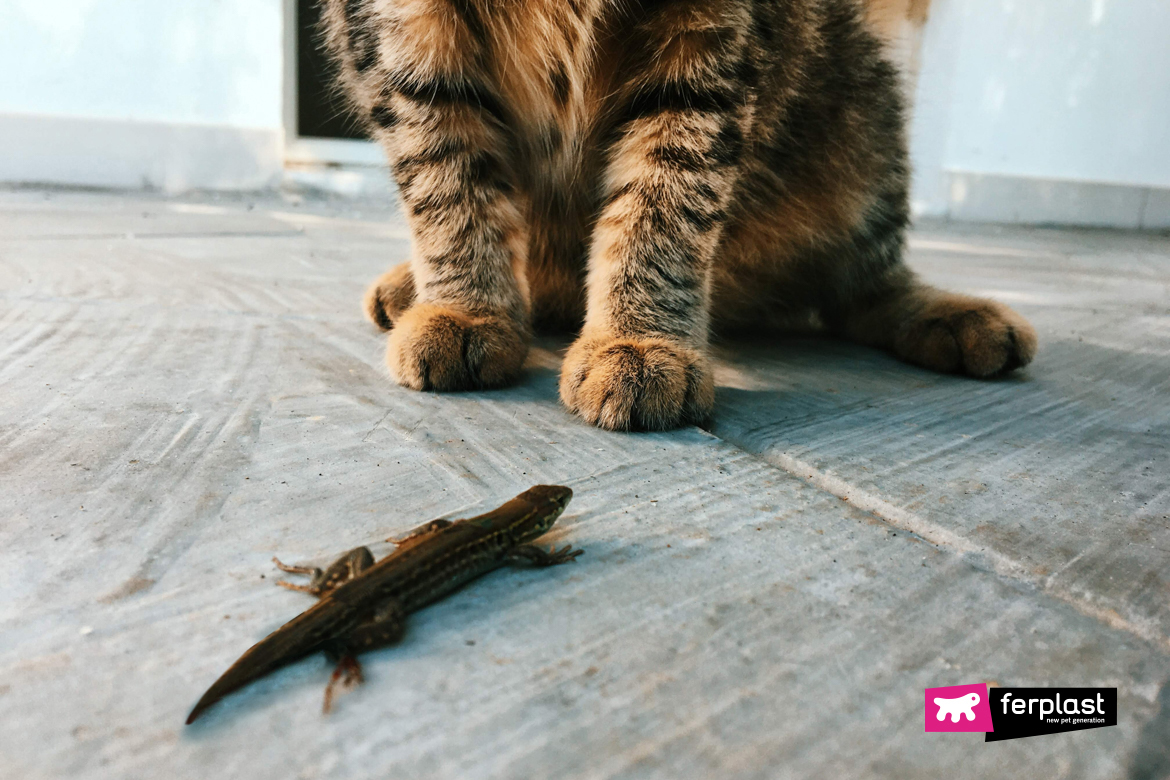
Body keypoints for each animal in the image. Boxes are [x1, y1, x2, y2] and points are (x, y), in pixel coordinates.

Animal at [318, 0, 1034, 430]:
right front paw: (467, 310)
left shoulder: (708, 51)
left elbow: (661, 208)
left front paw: (636, 339)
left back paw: (952, 314)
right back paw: (412, 288)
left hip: (863, 117)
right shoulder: (401, 37)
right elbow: (447, 181)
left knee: (863, 287)